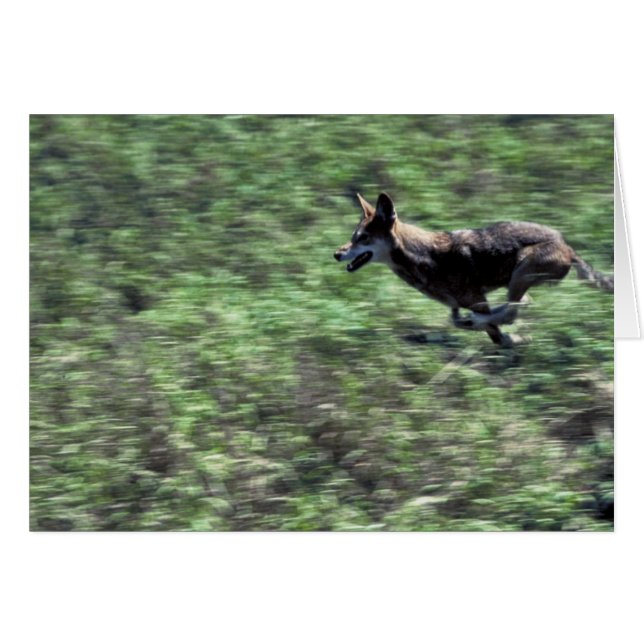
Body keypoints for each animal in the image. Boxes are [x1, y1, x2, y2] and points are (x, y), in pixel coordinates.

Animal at [334, 193, 613, 346]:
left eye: (363, 238)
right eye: (353, 237)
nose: (336, 254)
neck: (423, 257)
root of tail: (569, 247)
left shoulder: (477, 299)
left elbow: (493, 330)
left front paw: (510, 337)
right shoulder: (460, 304)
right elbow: (462, 322)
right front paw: (510, 339)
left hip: (521, 269)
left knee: (513, 310)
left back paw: (483, 320)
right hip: (518, 280)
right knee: (519, 305)